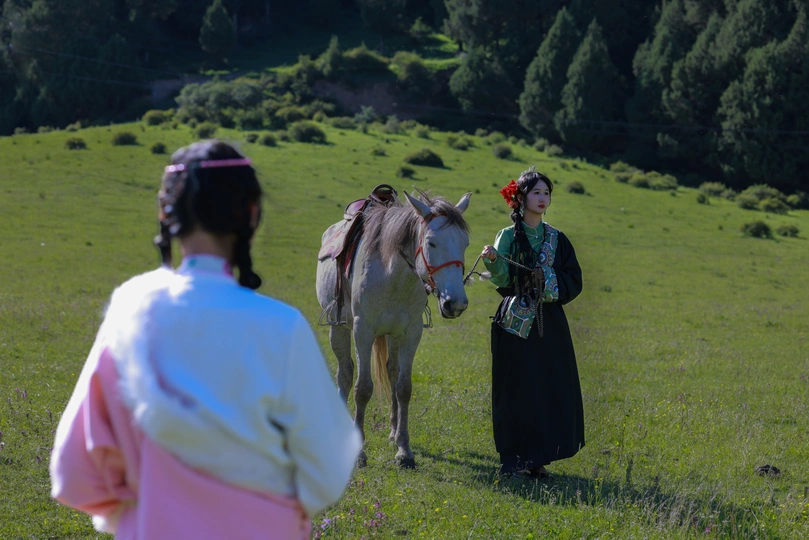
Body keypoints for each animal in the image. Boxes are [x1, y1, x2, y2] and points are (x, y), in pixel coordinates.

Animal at [316, 189, 471, 468]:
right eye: (431, 243)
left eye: (464, 244)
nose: (456, 303)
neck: (394, 277)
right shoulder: (362, 331)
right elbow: (363, 388)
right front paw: (359, 453)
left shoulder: (411, 334)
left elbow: (403, 388)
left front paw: (404, 450)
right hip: (339, 329)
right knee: (344, 374)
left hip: (392, 336)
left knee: (391, 372)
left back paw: (392, 432)